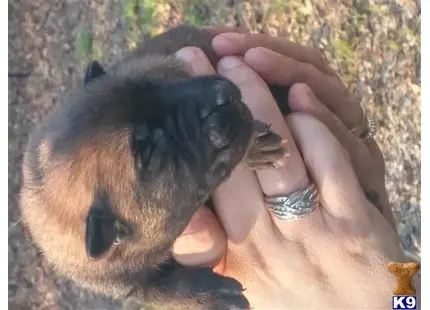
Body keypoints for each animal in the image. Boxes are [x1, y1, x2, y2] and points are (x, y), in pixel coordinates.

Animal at [18, 25, 290, 308]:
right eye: (150, 151)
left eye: (156, 82)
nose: (221, 96)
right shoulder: (121, 281)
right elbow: (161, 289)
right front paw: (212, 297)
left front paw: (256, 145)